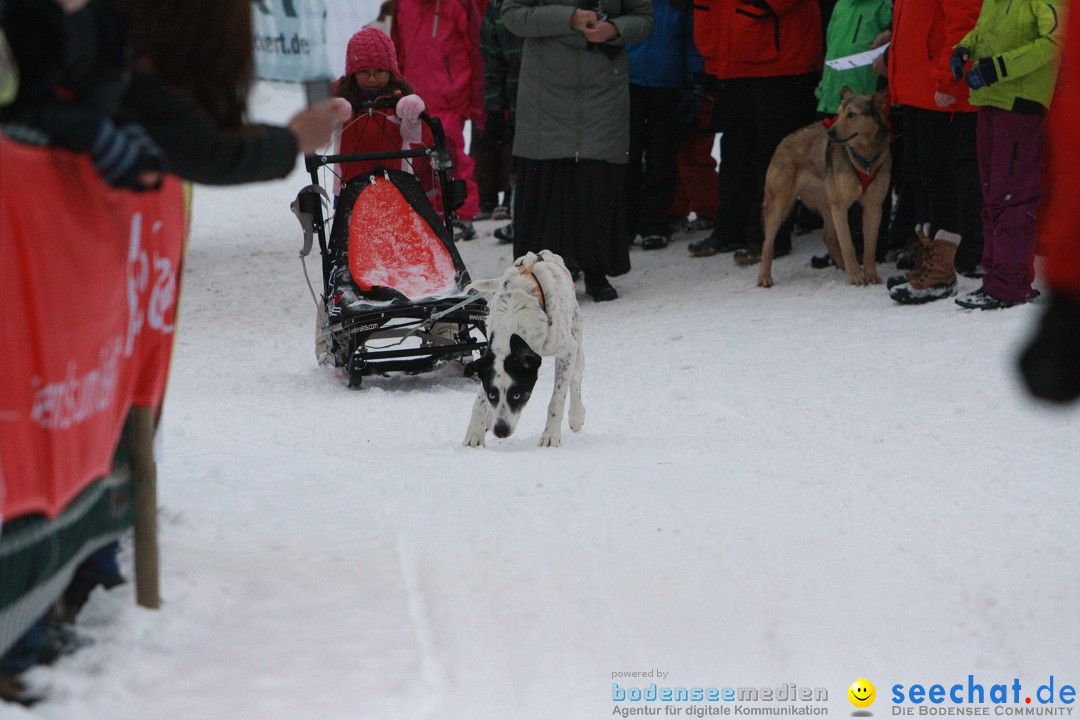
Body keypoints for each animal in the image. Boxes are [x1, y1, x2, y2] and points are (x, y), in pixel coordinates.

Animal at [462, 250, 587, 446]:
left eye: (517, 395)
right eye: (492, 395)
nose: (501, 430)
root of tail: (545, 253)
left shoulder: (567, 351)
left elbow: (557, 400)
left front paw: (550, 435)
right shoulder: (490, 359)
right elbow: (480, 400)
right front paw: (474, 434)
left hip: (577, 342)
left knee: (576, 378)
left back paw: (576, 414)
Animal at [756, 90, 889, 289]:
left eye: (851, 114)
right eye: (838, 113)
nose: (830, 132)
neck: (864, 160)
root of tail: (783, 141)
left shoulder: (874, 206)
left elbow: (870, 247)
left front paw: (870, 275)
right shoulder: (841, 206)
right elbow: (848, 245)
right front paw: (855, 276)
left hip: (827, 203)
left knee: (828, 236)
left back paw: (843, 267)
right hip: (779, 205)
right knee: (767, 243)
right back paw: (764, 277)